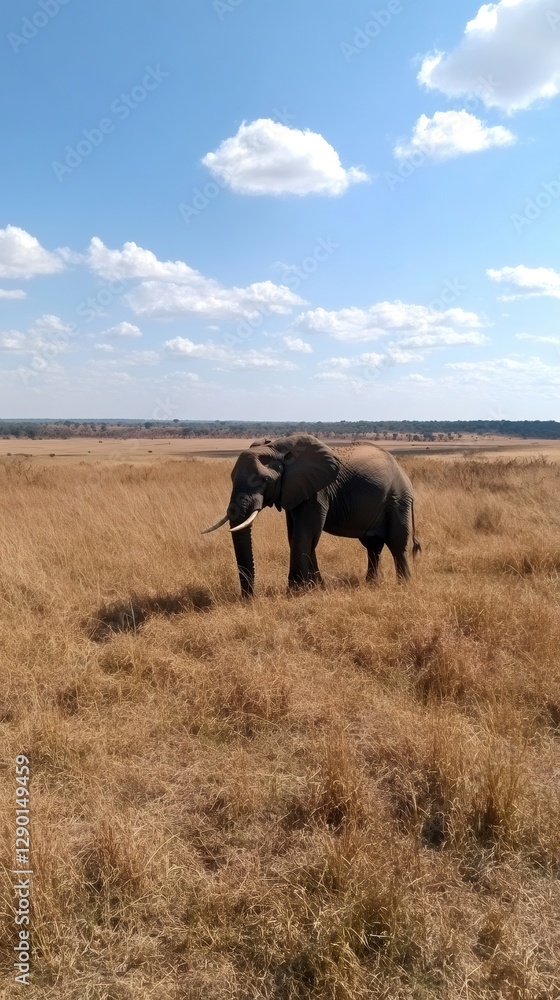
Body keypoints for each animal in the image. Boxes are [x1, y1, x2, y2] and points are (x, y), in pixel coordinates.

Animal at [202, 434, 421, 598]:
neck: (278, 448)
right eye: (231, 477)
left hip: (397, 500)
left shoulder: (317, 491)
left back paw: (403, 585)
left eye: (264, 480)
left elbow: (305, 533)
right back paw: (371, 584)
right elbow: (297, 535)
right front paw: (317, 588)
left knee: (397, 543)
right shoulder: (295, 490)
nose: (250, 598)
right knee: (373, 546)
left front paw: (295, 592)